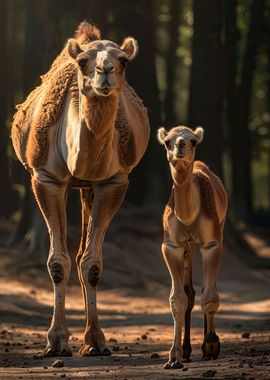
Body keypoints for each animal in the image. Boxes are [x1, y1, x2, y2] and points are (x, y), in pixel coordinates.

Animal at [157, 127, 227, 368]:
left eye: (193, 141)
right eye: (167, 141)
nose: (180, 145)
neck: (188, 215)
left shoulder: (211, 244)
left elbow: (210, 297)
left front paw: (211, 345)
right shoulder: (172, 245)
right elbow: (178, 299)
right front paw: (174, 357)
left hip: (216, 230)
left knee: (207, 289)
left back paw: (206, 347)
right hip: (189, 245)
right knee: (190, 292)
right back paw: (187, 351)